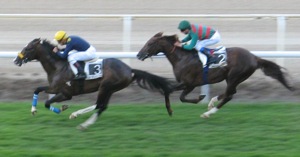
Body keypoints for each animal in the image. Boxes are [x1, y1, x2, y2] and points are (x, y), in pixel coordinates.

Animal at [13, 38, 173, 129]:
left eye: (28, 48)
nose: (16, 60)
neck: (58, 66)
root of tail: (130, 69)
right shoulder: (53, 88)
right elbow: (37, 89)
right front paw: (33, 110)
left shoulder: (65, 93)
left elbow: (47, 103)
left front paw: (63, 108)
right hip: (111, 89)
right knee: (102, 107)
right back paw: (85, 123)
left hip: (105, 86)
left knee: (98, 105)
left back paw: (77, 116)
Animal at [137, 31, 294, 118]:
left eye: (150, 43)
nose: (139, 55)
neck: (182, 58)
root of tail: (254, 58)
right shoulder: (185, 84)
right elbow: (170, 92)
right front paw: (171, 111)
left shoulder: (189, 84)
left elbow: (178, 95)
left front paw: (199, 98)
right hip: (233, 78)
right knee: (230, 93)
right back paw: (212, 102)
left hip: (234, 76)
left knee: (229, 95)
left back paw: (208, 113)